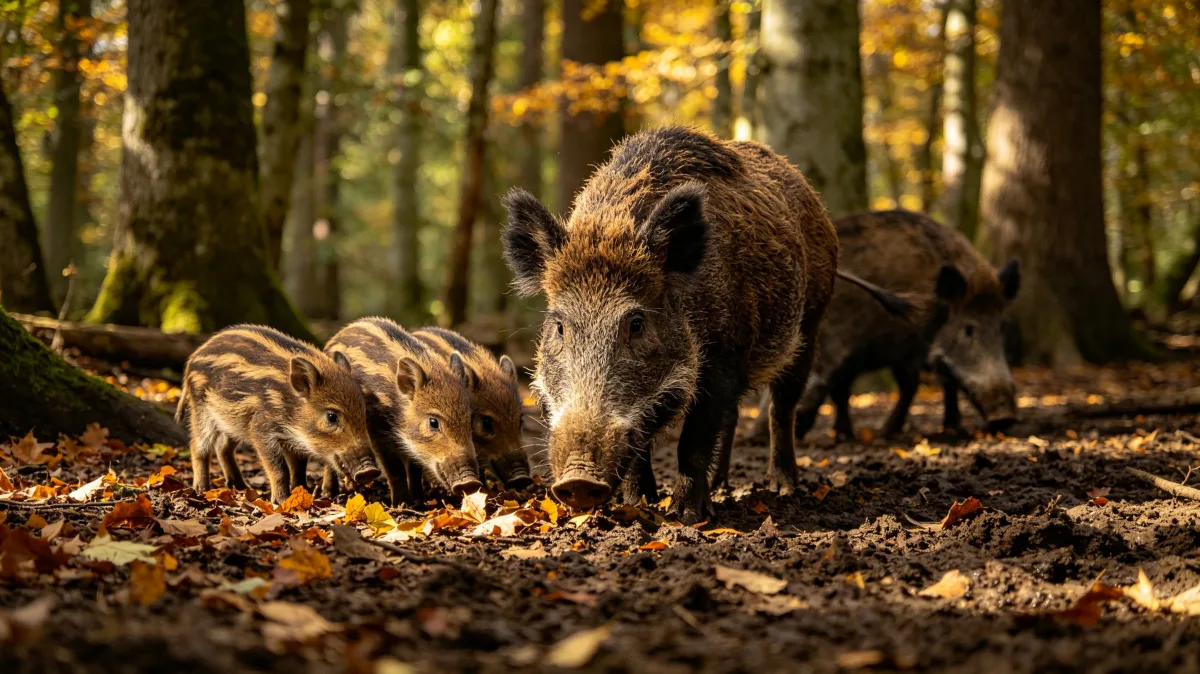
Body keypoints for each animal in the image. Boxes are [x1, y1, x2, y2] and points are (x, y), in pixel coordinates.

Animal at [176, 325, 380, 503]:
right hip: (201, 410)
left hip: (230, 421)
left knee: (222, 447)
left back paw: (241, 487)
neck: (290, 406)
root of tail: (192, 359)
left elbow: (299, 466)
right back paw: (202, 489)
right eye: (331, 416)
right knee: (198, 447)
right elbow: (279, 468)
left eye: (363, 413)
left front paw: (303, 492)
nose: (370, 471)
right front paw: (281, 500)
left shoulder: (294, 439)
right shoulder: (261, 428)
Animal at [323, 317, 482, 505]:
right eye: (433, 422)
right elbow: (395, 470)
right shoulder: (379, 433)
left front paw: (420, 500)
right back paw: (328, 494)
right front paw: (401, 503)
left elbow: (415, 468)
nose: (471, 483)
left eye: (470, 420)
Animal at [501, 126, 838, 523]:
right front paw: (638, 504)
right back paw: (722, 486)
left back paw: (782, 487)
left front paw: (687, 515)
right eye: (559, 326)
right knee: (736, 414)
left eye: (636, 323)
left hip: (810, 324)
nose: (579, 480)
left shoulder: (721, 361)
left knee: (781, 409)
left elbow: (693, 440)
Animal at [793, 209, 1020, 441]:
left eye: (1001, 327)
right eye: (968, 329)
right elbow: (845, 388)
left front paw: (953, 431)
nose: (1005, 418)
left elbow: (935, 385)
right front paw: (867, 434)